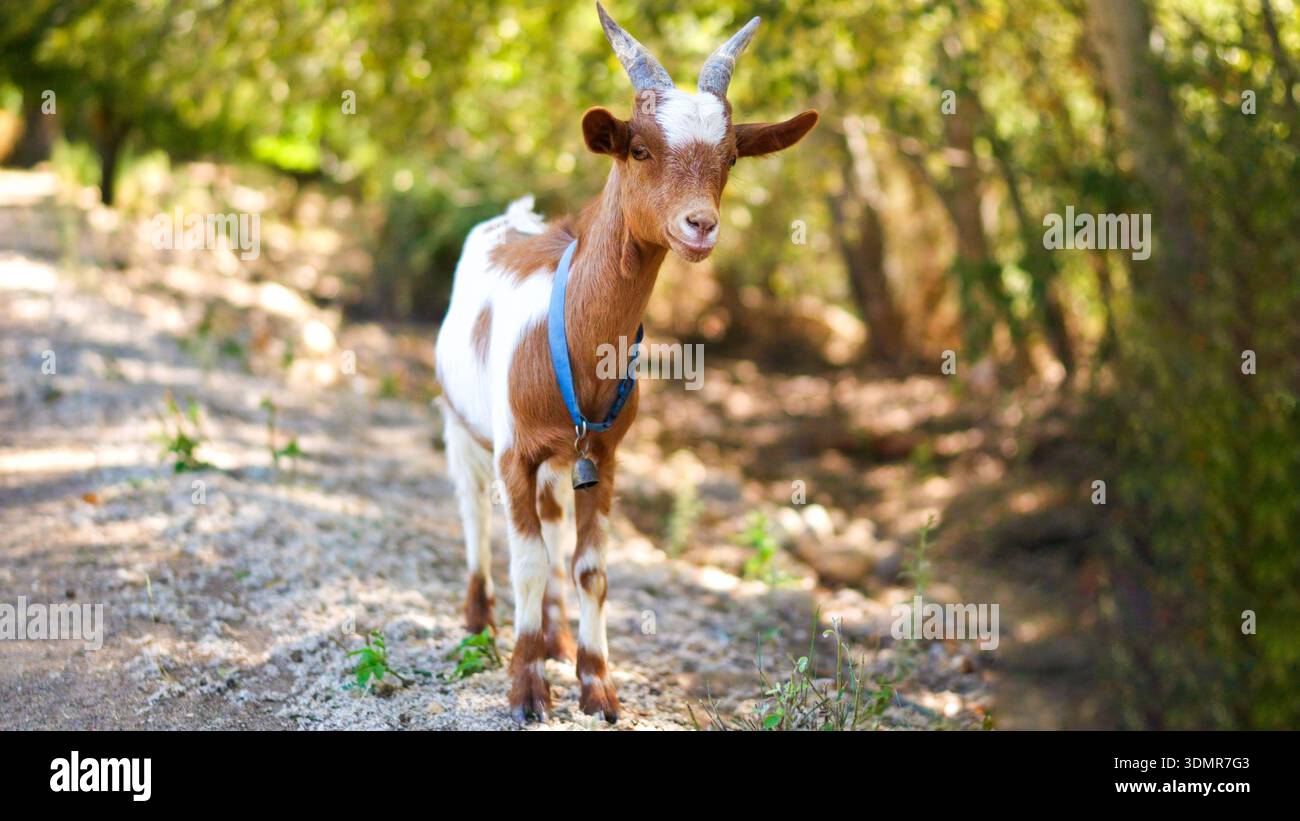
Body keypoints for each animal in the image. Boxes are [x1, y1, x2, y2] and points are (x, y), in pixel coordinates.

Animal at [435, 2, 817, 724]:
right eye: (638, 148)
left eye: (730, 157)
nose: (700, 225)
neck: (574, 344)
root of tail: (513, 218)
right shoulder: (514, 450)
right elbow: (527, 559)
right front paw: (527, 689)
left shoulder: (605, 455)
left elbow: (589, 568)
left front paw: (597, 686)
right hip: (458, 418)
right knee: (471, 507)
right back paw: (479, 617)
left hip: (565, 459)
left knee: (556, 525)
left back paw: (554, 632)